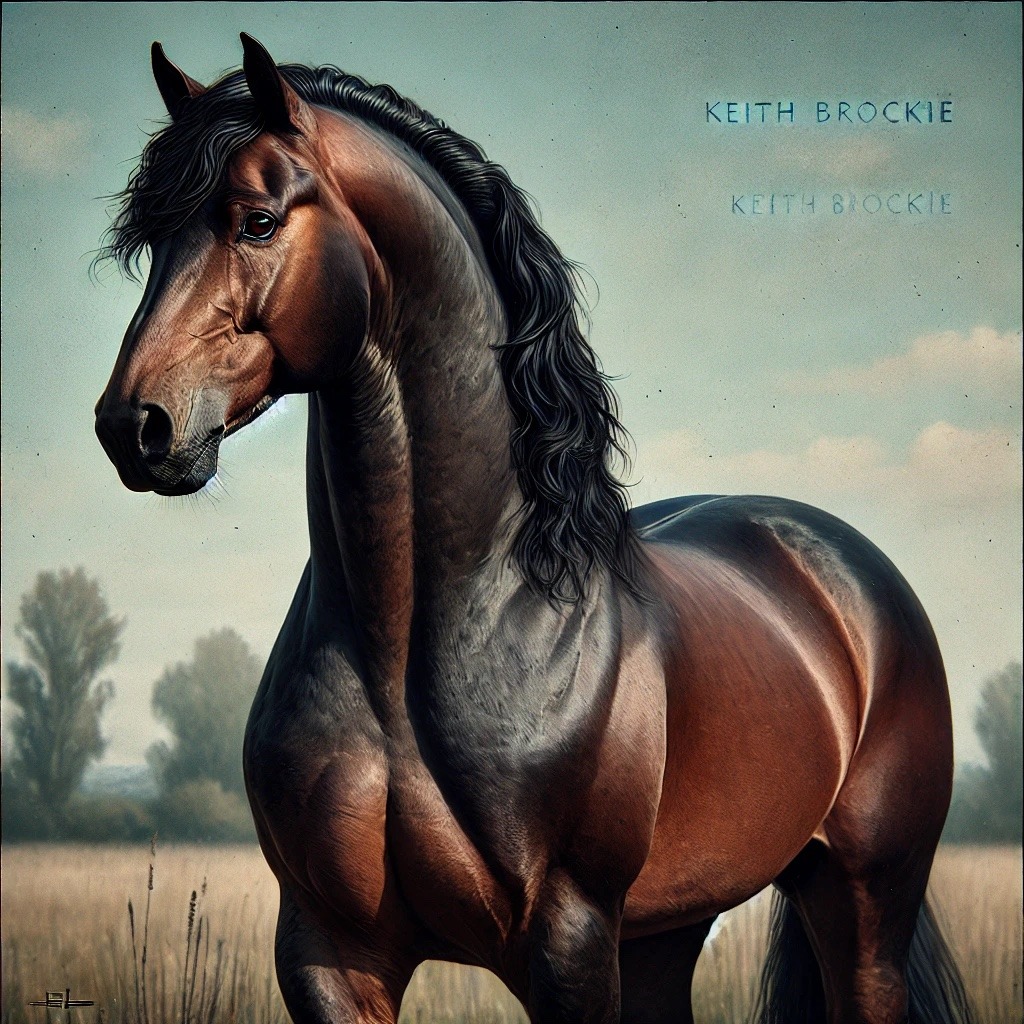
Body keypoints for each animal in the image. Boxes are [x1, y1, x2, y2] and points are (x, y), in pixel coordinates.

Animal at [94, 35, 975, 1024]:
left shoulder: (568, 940)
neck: (420, 645)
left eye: (255, 220)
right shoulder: (327, 951)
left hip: (862, 905)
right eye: (154, 239)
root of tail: (842, 568)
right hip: (666, 932)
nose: (135, 427)